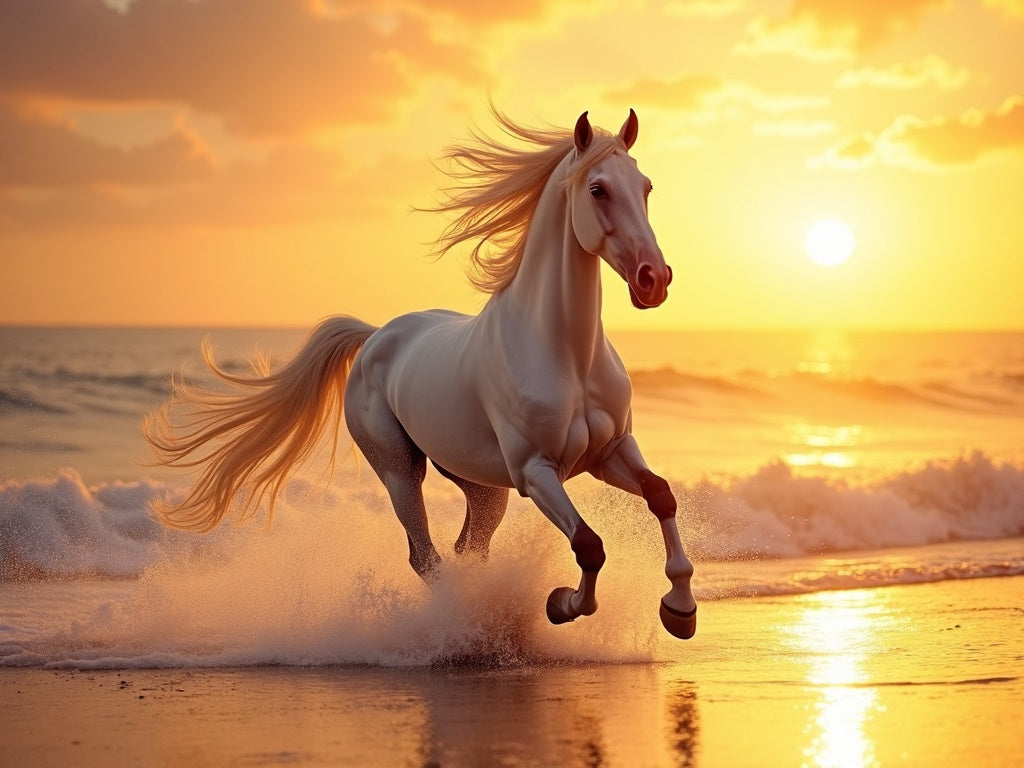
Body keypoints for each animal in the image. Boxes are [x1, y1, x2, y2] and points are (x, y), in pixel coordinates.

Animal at [144, 109, 697, 640]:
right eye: (597, 189)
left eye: (646, 186)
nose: (655, 279)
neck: (565, 354)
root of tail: (376, 336)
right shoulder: (536, 472)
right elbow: (589, 545)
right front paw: (562, 604)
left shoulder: (611, 451)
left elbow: (661, 495)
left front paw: (680, 609)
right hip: (399, 472)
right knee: (425, 556)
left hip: (481, 485)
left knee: (466, 549)